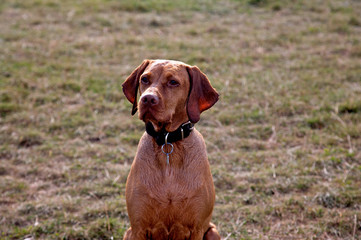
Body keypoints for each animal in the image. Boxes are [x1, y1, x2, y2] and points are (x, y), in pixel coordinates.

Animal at [122, 59, 221, 239]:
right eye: (144, 79)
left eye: (173, 82)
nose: (147, 99)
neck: (168, 141)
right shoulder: (138, 228)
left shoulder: (197, 228)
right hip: (128, 233)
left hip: (212, 231)